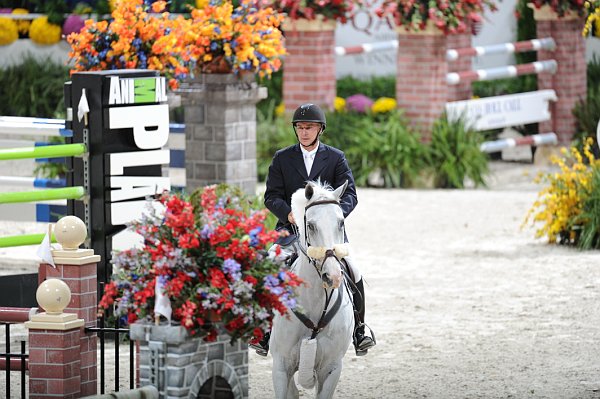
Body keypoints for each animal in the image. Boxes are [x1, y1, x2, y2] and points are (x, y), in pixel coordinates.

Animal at [268, 182, 356, 399]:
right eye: (311, 226)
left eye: (341, 222)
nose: (332, 276)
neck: (316, 302)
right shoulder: (280, 366)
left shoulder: (331, 368)